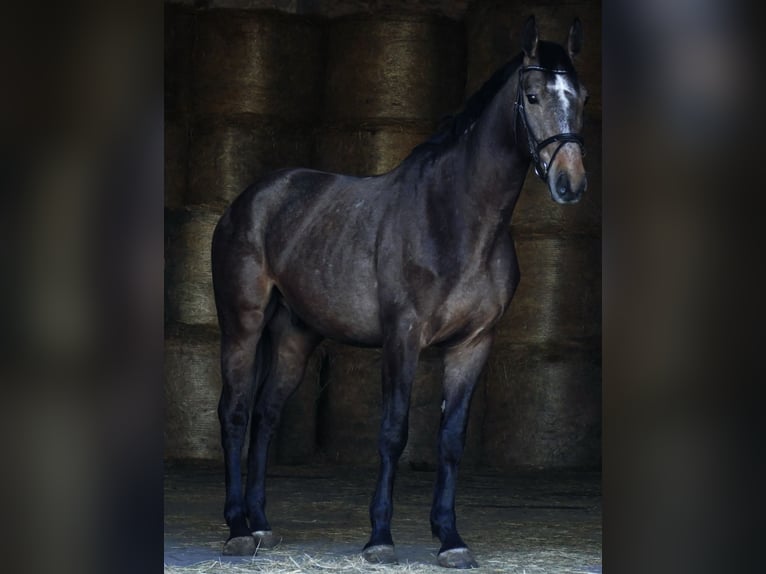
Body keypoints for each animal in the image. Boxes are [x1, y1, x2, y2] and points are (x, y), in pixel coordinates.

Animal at [211, 15, 588, 569]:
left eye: (580, 96)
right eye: (534, 96)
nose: (570, 183)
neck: (455, 218)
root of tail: (249, 200)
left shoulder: (474, 343)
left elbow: (450, 439)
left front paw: (450, 538)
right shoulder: (402, 337)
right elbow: (393, 432)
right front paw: (380, 538)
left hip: (296, 334)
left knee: (266, 414)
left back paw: (261, 524)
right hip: (242, 324)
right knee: (235, 413)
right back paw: (238, 528)